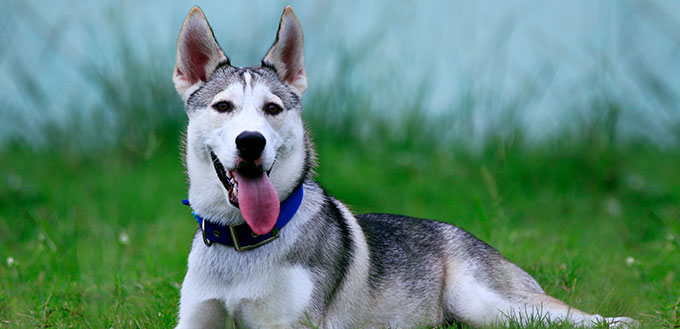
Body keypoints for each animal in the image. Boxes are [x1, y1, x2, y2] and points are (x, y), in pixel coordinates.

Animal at [171, 5, 636, 328]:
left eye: (272, 109)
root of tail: (464, 234)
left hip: (494, 304)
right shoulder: (195, 318)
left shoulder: (289, 323)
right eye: (223, 107)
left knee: (570, 316)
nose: (251, 142)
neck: (242, 245)